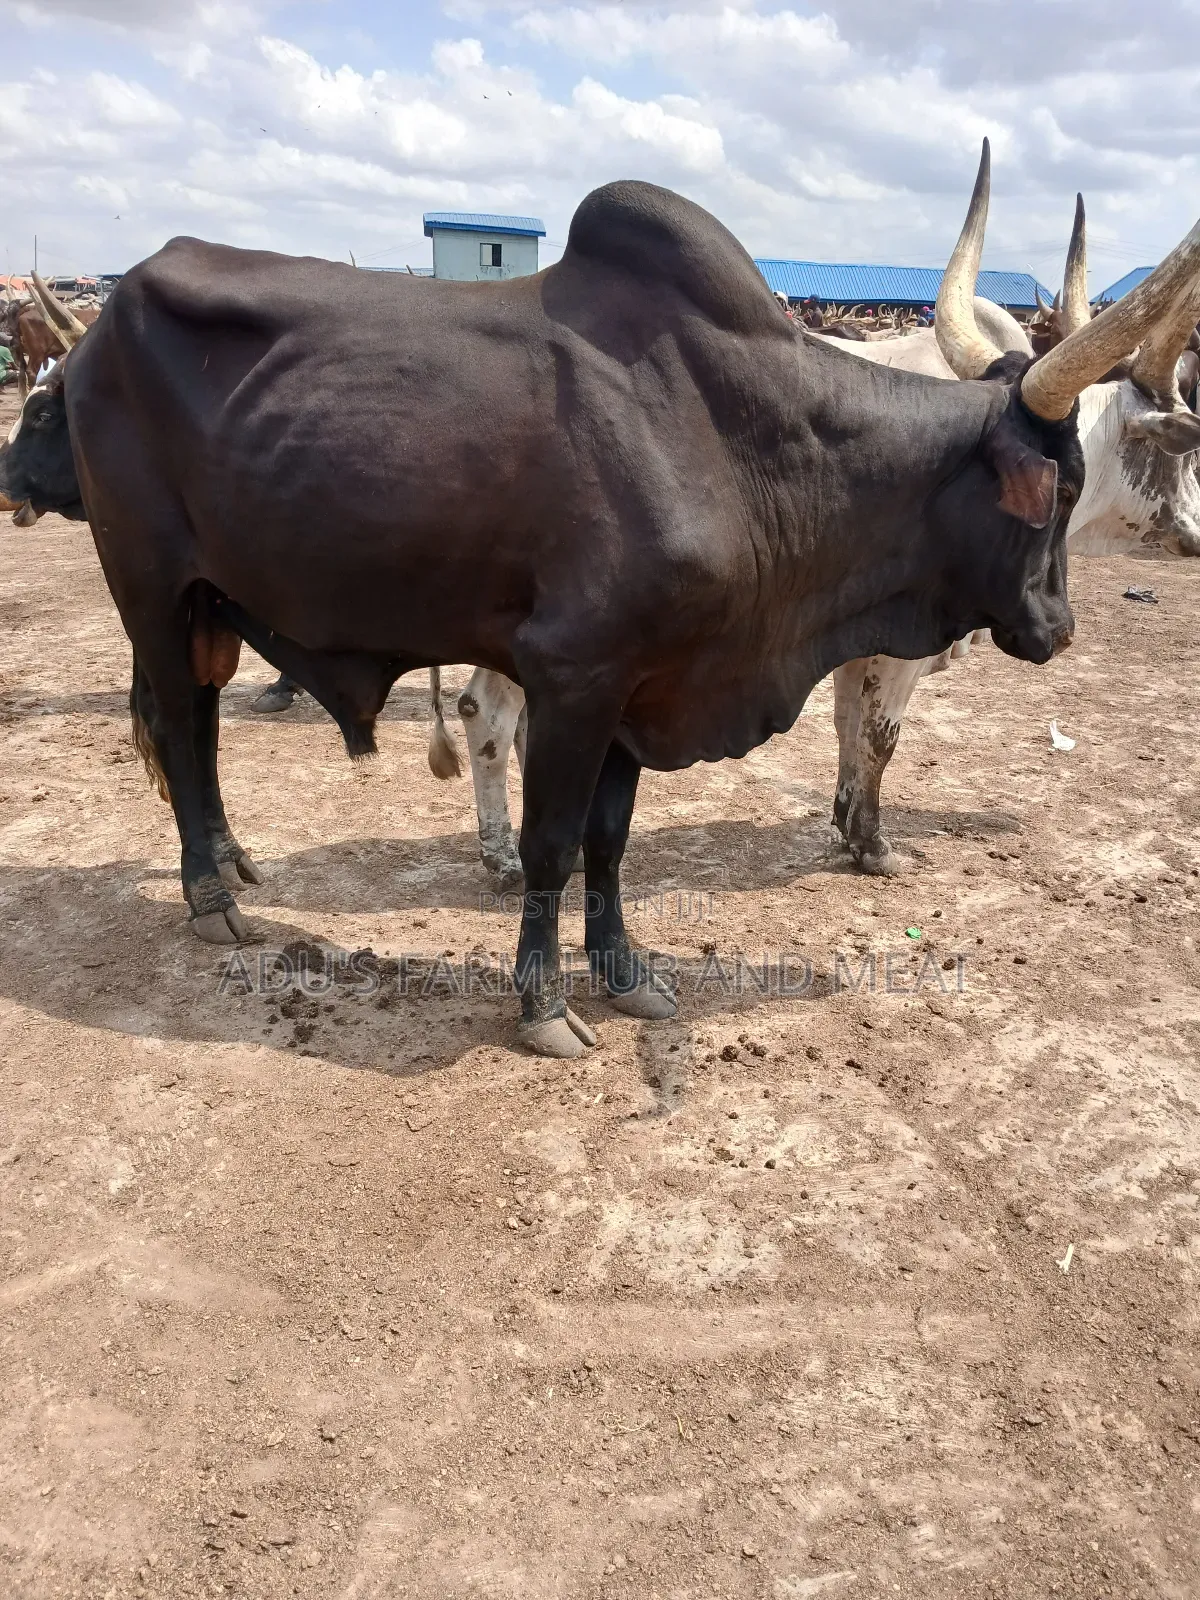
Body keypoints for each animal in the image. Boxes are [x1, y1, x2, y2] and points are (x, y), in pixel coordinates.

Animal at [4, 143, 1188, 1060]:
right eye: (1055, 492)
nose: (1058, 628)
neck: (754, 443)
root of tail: (99, 332)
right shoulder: (575, 678)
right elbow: (552, 846)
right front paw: (541, 1005)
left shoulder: (642, 688)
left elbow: (612, 846)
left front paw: (627, 975)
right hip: (149, 586)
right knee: (181, 725)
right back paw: (212, 899)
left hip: (206, 602)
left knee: (190, 725)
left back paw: (231, 865)